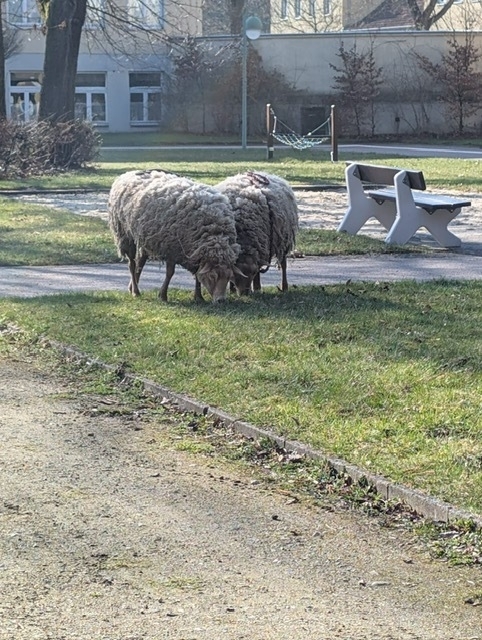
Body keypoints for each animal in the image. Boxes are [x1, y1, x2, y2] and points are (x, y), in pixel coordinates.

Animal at [108, 169, 241, 303]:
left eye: (229, 277)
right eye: (212, 276)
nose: (221, 300)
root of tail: (128, 173)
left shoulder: (195, 253)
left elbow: (197, 275)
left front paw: (198, 297)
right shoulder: (171, 248)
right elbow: (170, 273)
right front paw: (163, 295)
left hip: (143, 238)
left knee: (140, 262)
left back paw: (132, 287)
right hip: (125, 234)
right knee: (132, 264)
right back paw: (135, 291)